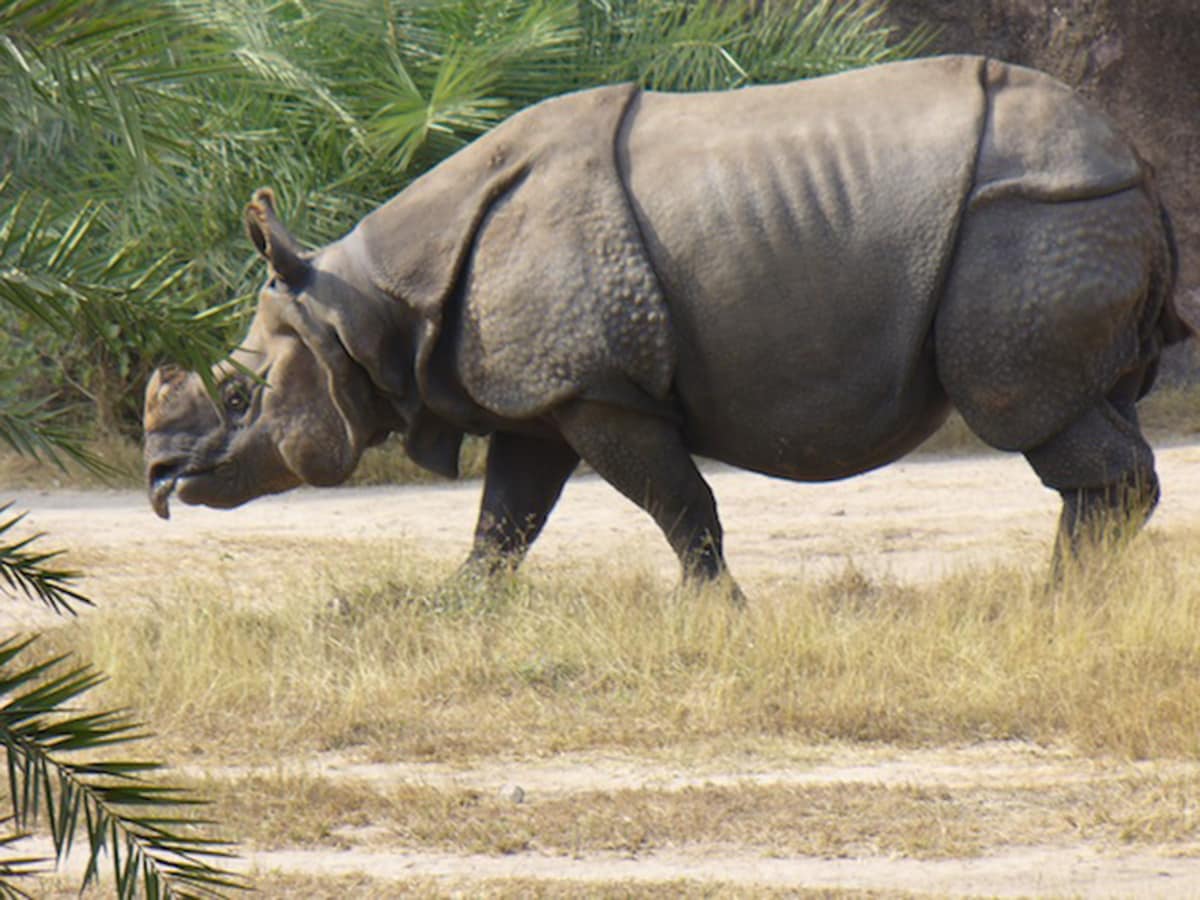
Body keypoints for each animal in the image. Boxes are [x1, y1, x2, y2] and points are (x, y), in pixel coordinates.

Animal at [143, 55, 1188, 594]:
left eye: (236, 397)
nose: (159, 481)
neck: (371, 304)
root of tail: (1135, 158)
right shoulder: (545, 390)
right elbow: (505, 520)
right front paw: (459, 612)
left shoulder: (599, 389)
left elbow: (680, 505)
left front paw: (717, 613)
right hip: (1062, 212)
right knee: (1095, 412)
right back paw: (1086, 598)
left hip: (1032, 215)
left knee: (1029, 410)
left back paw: (1057, 604)